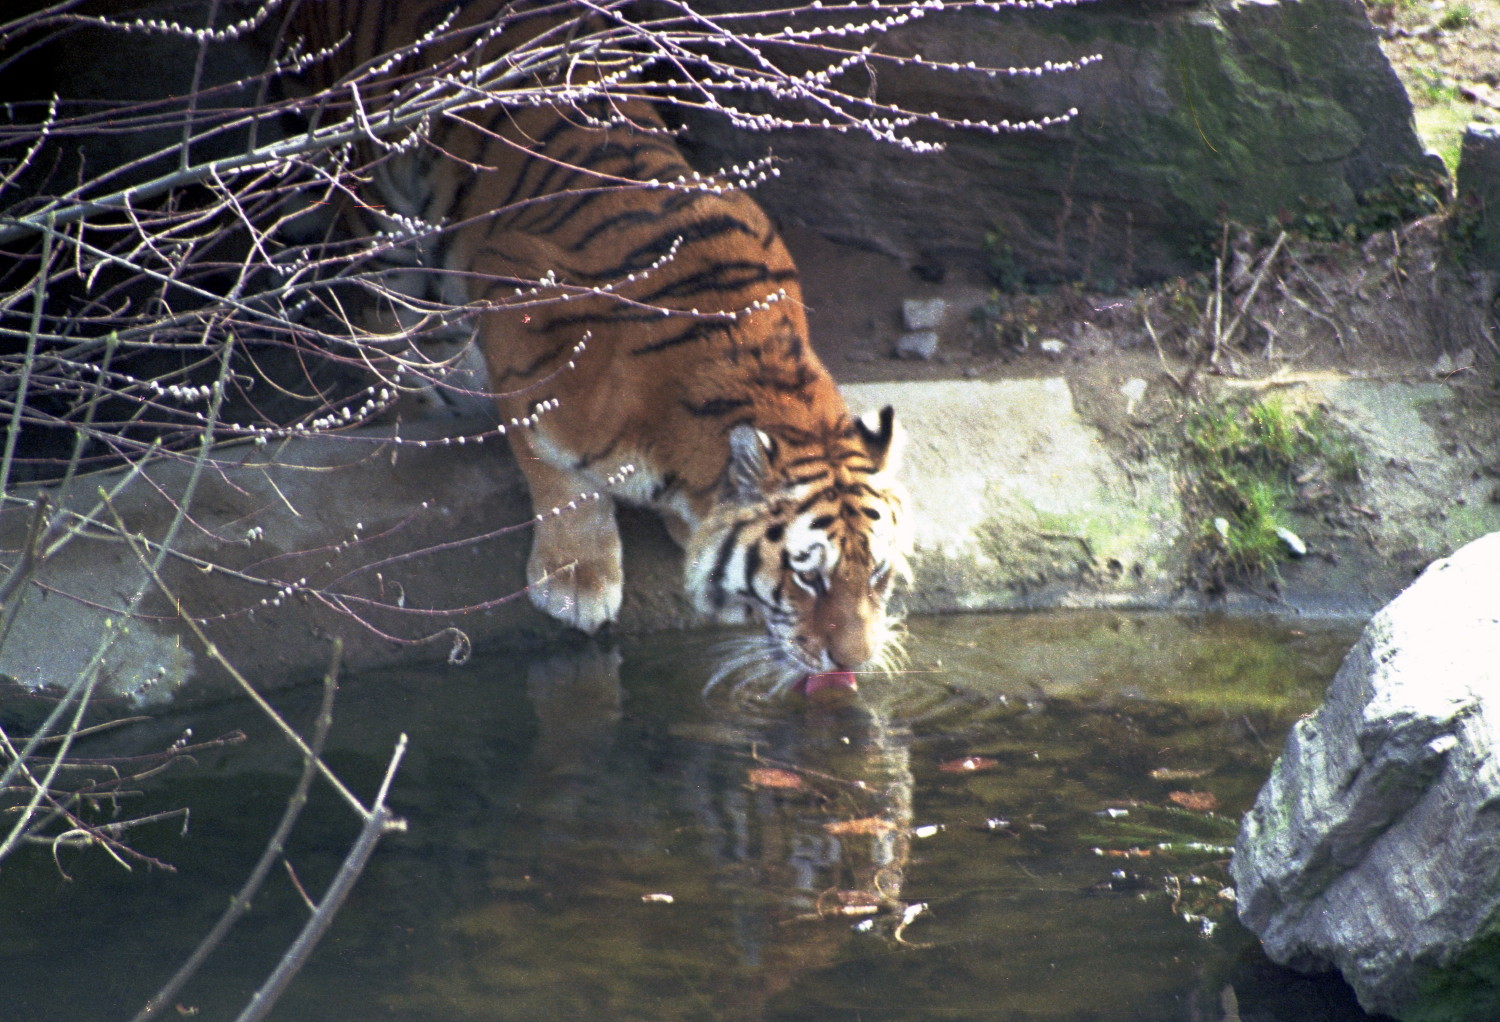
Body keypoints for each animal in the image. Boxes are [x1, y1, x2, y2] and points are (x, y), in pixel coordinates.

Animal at [285, 1, 906, 684]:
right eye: (807, 576)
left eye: (877, 573)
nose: (857, 661)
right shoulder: (518, 295)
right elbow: (551, 463)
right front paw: (576, 579)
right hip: (373, 203)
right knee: (379, 315)